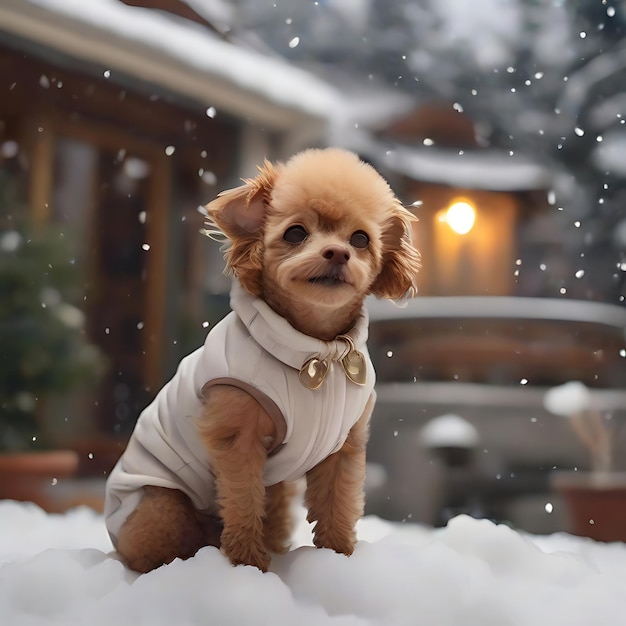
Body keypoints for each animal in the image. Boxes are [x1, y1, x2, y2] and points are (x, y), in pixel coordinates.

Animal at [105, 146, 422, 572]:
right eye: (295, 233)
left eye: (360, 239)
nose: (338, 253)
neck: (319, 351)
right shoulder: (239, 439)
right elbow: (243, 502)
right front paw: (248, 564)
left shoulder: (343, 446)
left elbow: (338, 503)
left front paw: (337, 557)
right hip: (161, 509)